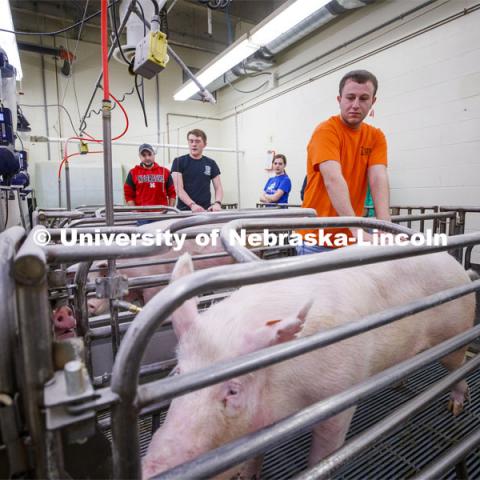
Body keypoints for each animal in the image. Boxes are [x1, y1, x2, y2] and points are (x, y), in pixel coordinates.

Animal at [142, 249, 476, 478]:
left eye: (233, 391)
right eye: (178, 374)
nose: (152, 470)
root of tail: (456, 264)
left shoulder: (340, 395)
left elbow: (322, 455)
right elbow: (252, 456)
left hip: (455, 333)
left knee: (459, 368)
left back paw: (456, 407)